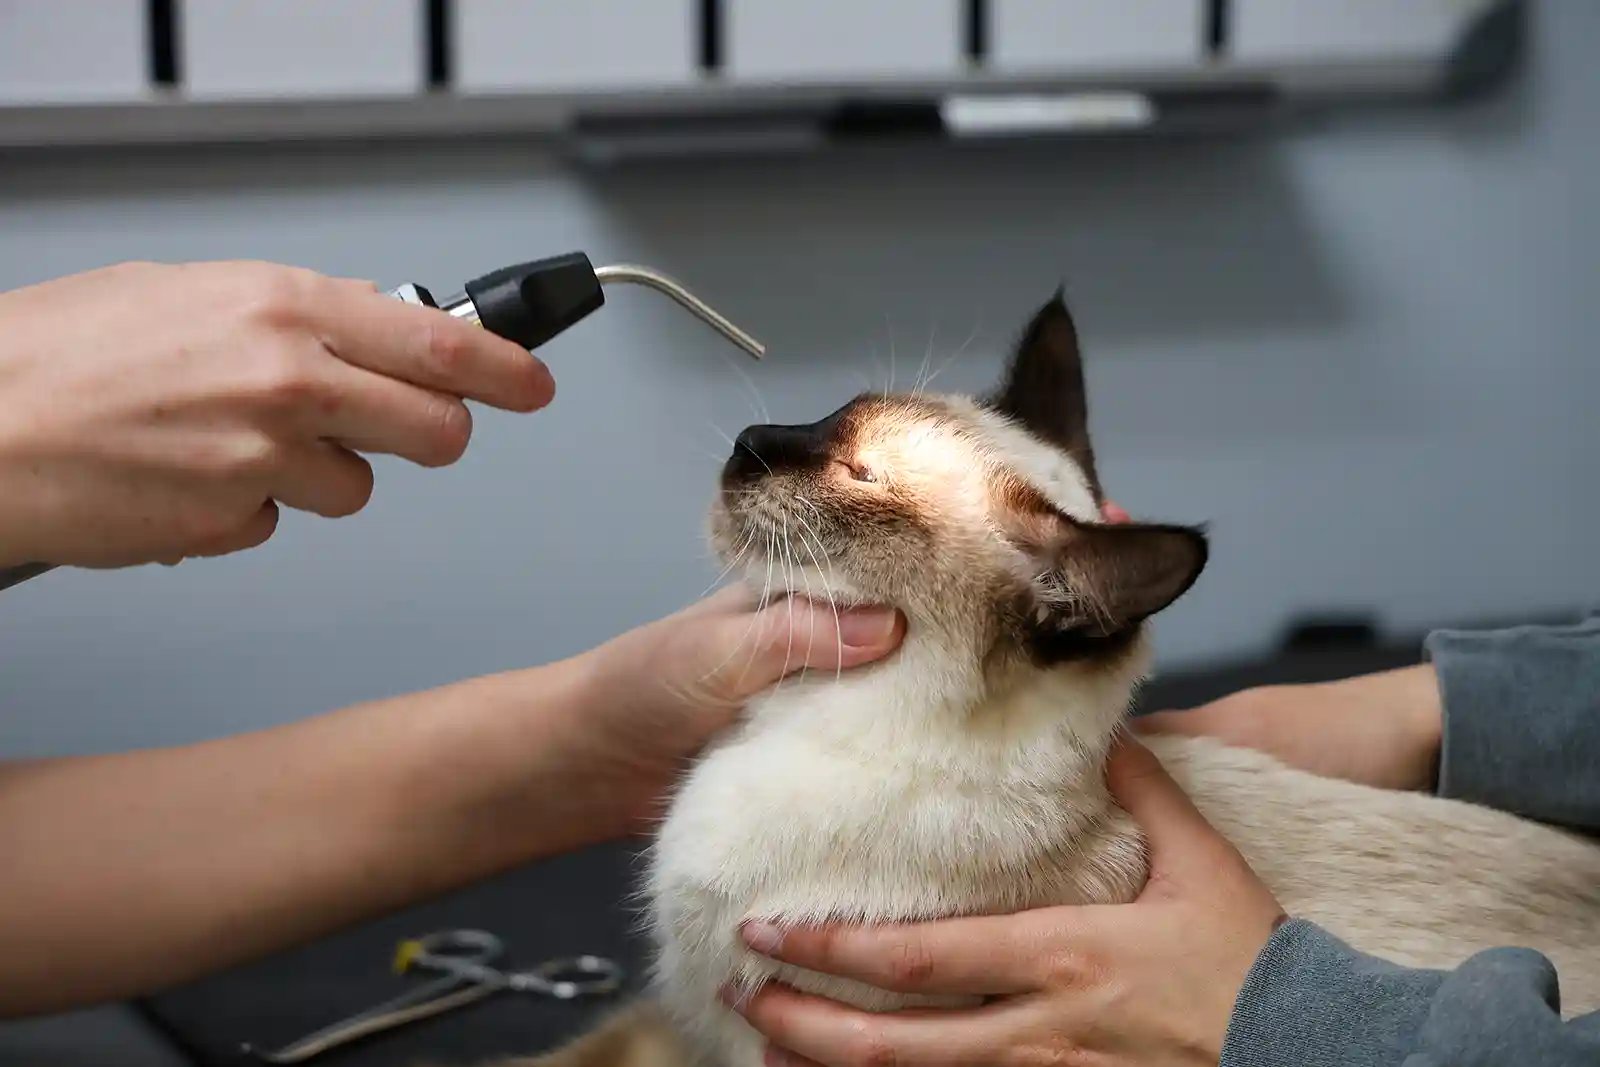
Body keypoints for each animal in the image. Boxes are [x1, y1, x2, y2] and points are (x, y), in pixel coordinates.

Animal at [512, 289, 1600, 1067]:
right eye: (830, 415)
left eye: (861, 476)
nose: (749, 443)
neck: (803, 720)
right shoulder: (674, 1020)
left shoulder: (762, 1040)